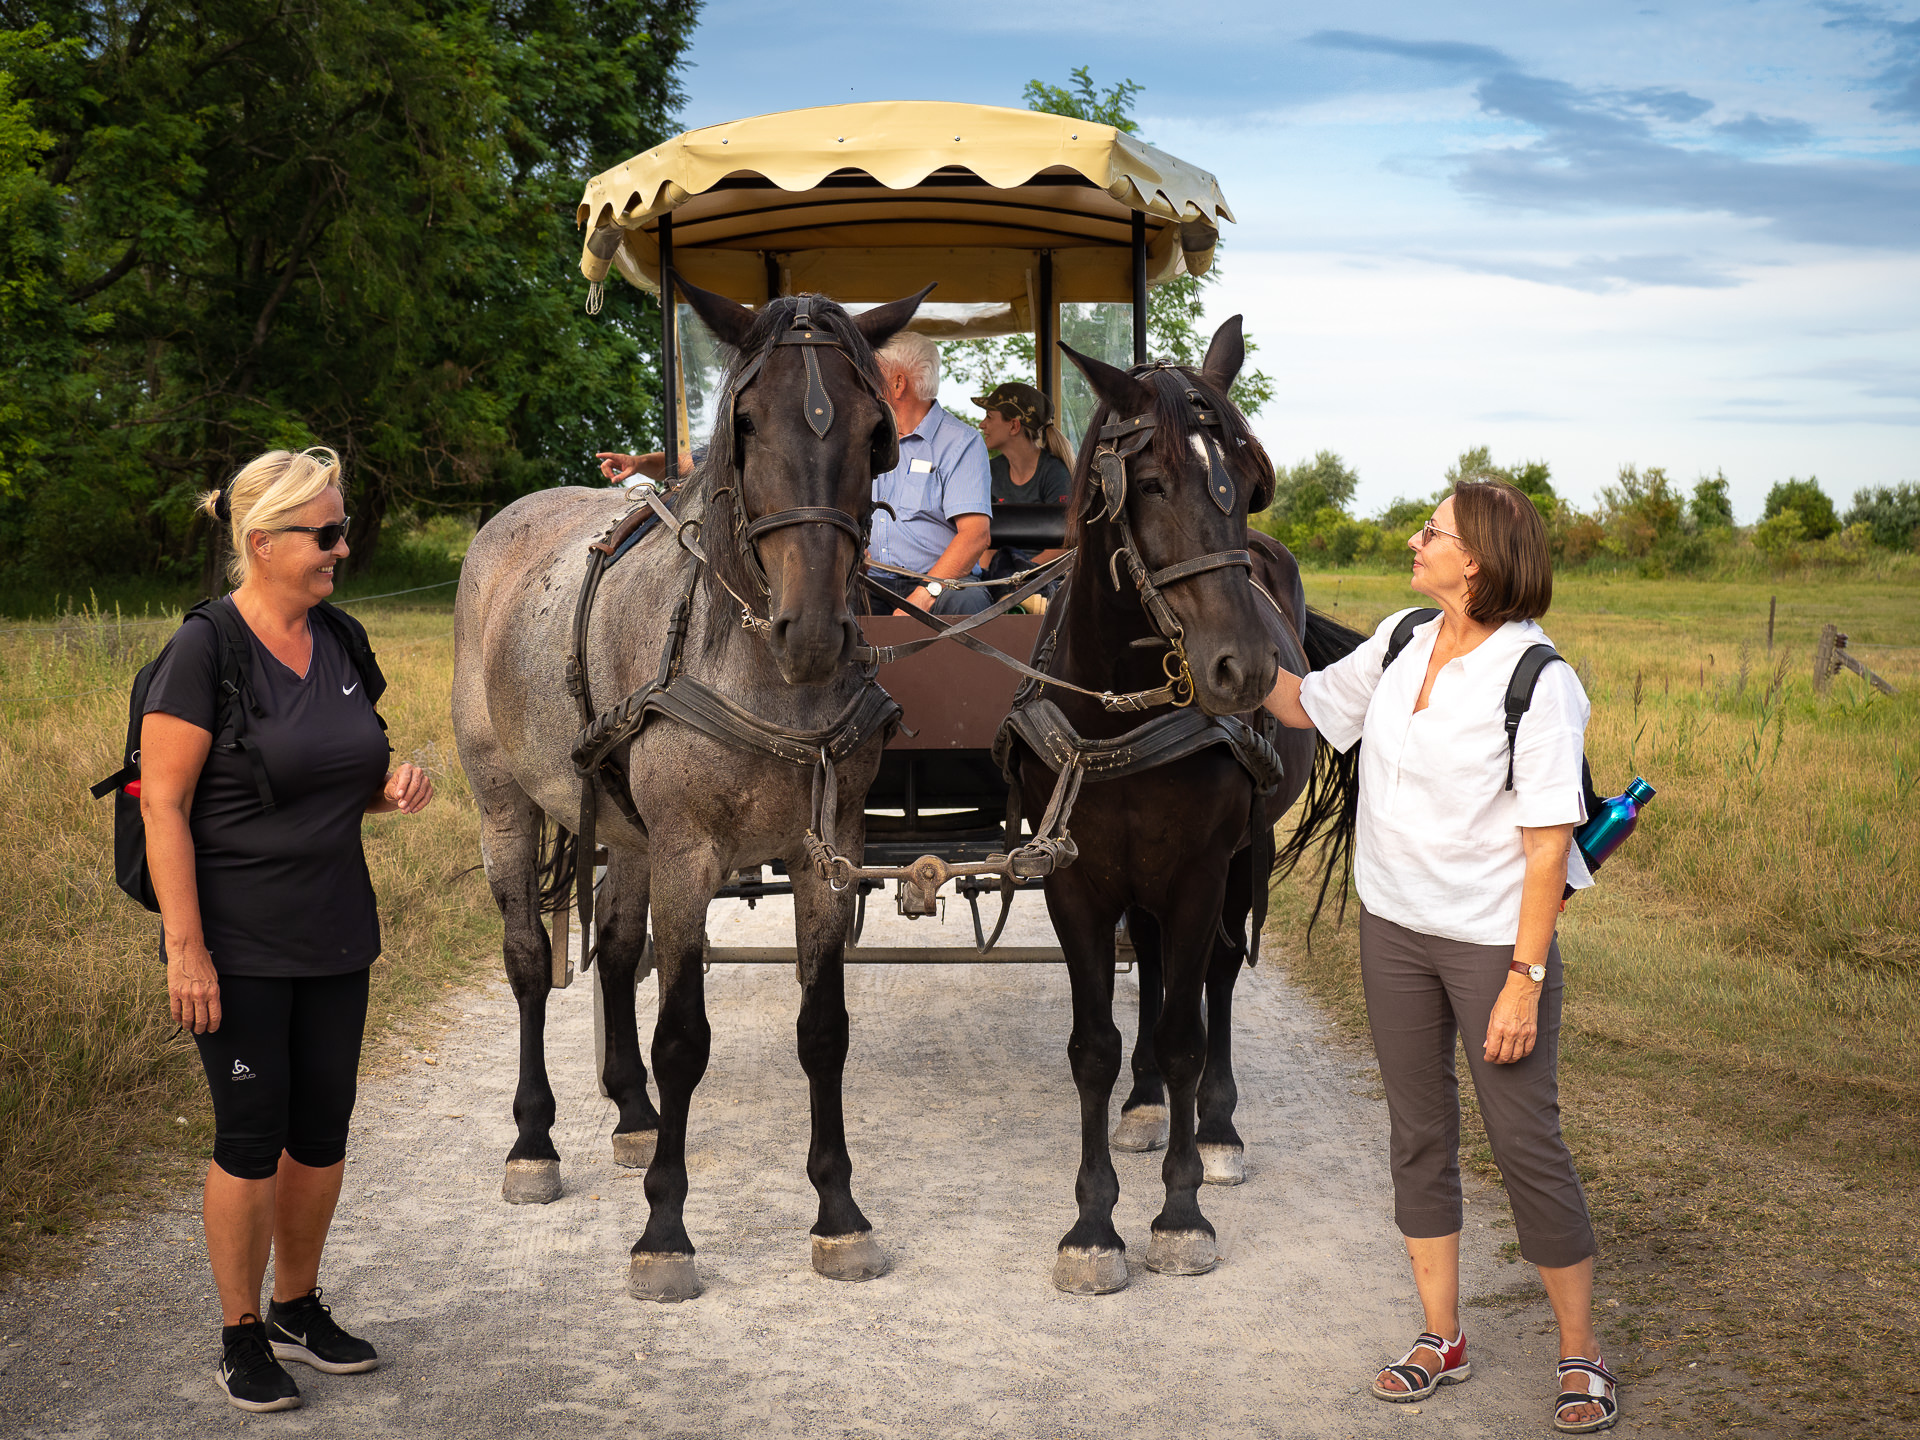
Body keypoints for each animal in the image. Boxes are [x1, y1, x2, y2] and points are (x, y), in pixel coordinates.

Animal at [451, 284, 929, 1305]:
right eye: (744, 425)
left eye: (876, 432)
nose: (812, 632)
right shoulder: (687, 855)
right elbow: (684, 1037)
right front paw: (664, 1232)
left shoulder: (829, 852)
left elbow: (822, 1029)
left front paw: (839, 1212)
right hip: (505, 805)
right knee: (528, 960)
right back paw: (533, 1140)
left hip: (629, 838)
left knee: (617, 950)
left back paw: (633, 1113)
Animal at [1006, 326, 1367, 1297]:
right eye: (1151, 483)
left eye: (1246, 481)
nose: (1243, 670)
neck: (1120, 705)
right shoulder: (1077, 881)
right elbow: (1094, 1044)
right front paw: (1094, 1225)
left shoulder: (1202, 870)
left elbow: (1183, 1035)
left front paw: (1180, 1212)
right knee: (1161, 961)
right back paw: (1142, 1108)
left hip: (1245, 850)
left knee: (1214, 978)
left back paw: (1216, 1129)